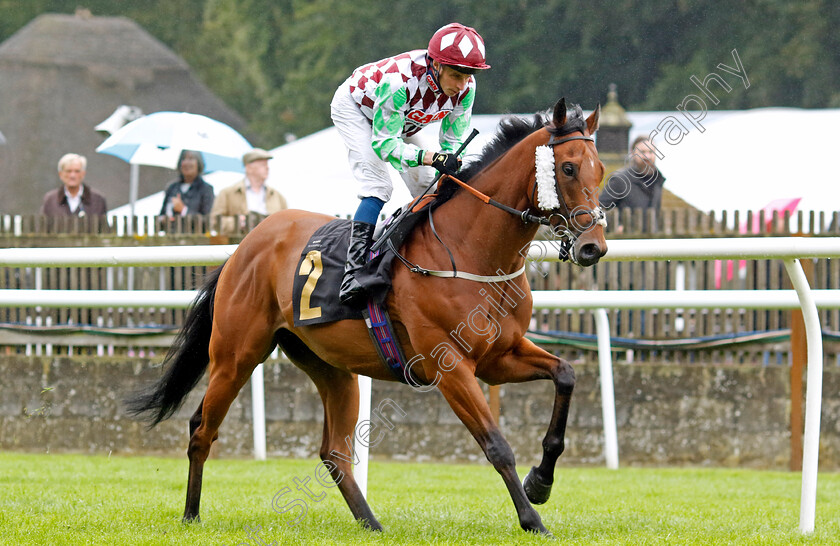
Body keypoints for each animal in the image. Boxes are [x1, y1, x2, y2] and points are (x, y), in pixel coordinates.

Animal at [126, 96, 604, 532]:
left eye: (599, 170)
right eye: (567, 169)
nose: (593, 247)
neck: (473, 252)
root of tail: (244, 246)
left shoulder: (498, 357)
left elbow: (565, 374)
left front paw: (541, 482)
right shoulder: (451, 367)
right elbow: (497, 445)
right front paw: (532, 518)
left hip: (333, 368)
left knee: (334, 451)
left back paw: (370, 522)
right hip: (235, 355)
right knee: (201, 429)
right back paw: (191, 515)